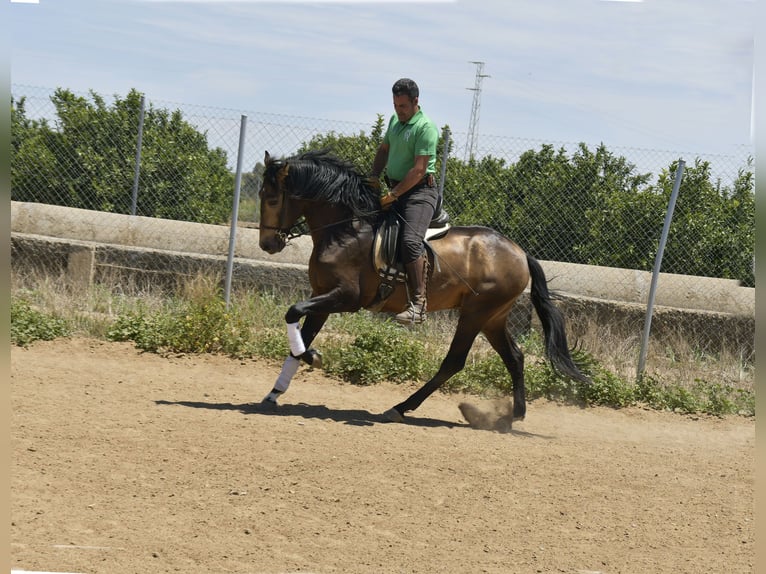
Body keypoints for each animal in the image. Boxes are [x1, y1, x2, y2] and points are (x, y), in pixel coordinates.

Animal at [260, 151, 592, 426]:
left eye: (273, 199)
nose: (268, 245)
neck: (344, 231)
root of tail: (520, 253)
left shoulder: (346, 297)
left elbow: (293, 314)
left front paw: (312, 357)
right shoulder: (322, 296)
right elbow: (299, 336)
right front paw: (274, 393)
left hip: (476, 313)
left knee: (454, 362)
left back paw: (401, 408)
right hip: (493, 318)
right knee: (515, 358)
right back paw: (512, 417)